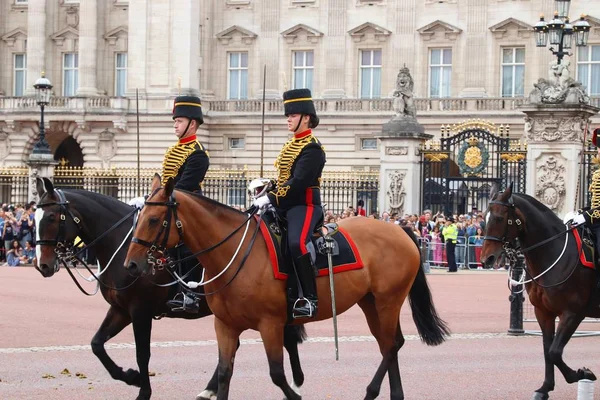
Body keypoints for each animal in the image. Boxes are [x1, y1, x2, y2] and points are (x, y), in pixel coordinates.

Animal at [34, 178, 304, 400]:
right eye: (36, 219)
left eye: (51, 218)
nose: (43, 265)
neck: (121, 245)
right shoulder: (120, 310)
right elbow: (97, 344)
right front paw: (129, 377)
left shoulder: (140, 311)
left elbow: (142, 354)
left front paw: (142, 390)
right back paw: (211, 389)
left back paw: (296, 381)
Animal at [124, 176, 448, 400]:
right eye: (137, 219)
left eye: (154, 219)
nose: (131, 266)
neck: (233, 252)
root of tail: (399, 228)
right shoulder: (225, 325)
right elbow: (226, 373)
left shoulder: (270, 324)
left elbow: (277, 374)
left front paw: (297, 390)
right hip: (370, 302)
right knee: (390, 344)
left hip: (388, 300)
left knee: (391, 345)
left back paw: (370, 391)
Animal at [482, 184, 600, 400]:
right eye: (485, 216)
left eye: (500, 218)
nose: (487, 258)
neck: (553, 253)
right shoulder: (543, 312)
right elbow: (547, 350)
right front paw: (545, 388)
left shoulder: (572, 313)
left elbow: (555, 352)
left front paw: (583, 373)